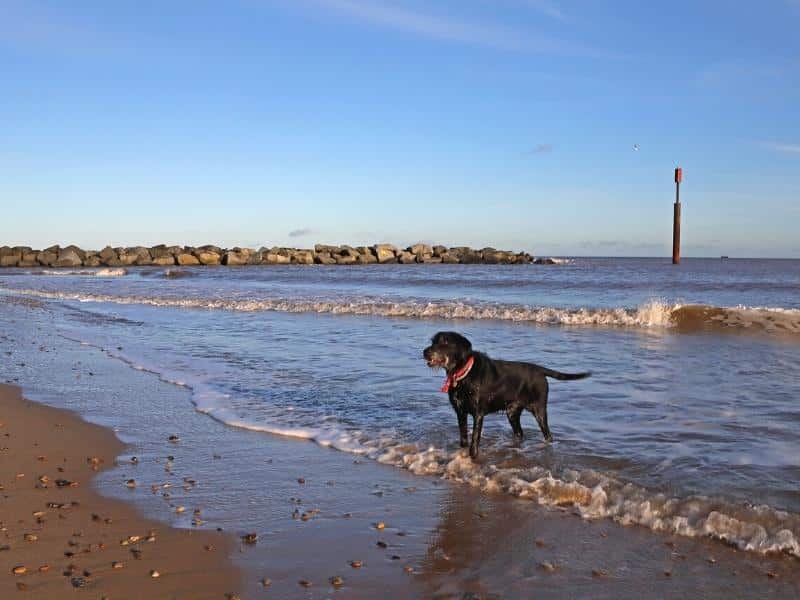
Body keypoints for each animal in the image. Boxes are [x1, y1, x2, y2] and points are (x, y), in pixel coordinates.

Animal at [422, 332, 592, 460]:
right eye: (433, 341)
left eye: (445, 342)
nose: (424, 352)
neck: (464, 374)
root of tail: (540, 370)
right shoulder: (460, 412)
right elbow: (463, 436)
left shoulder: (478, 413)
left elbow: (475, 438)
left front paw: (473, 456)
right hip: (512, 412)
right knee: (519, 432)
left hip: (539, 410)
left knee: (547, 434)